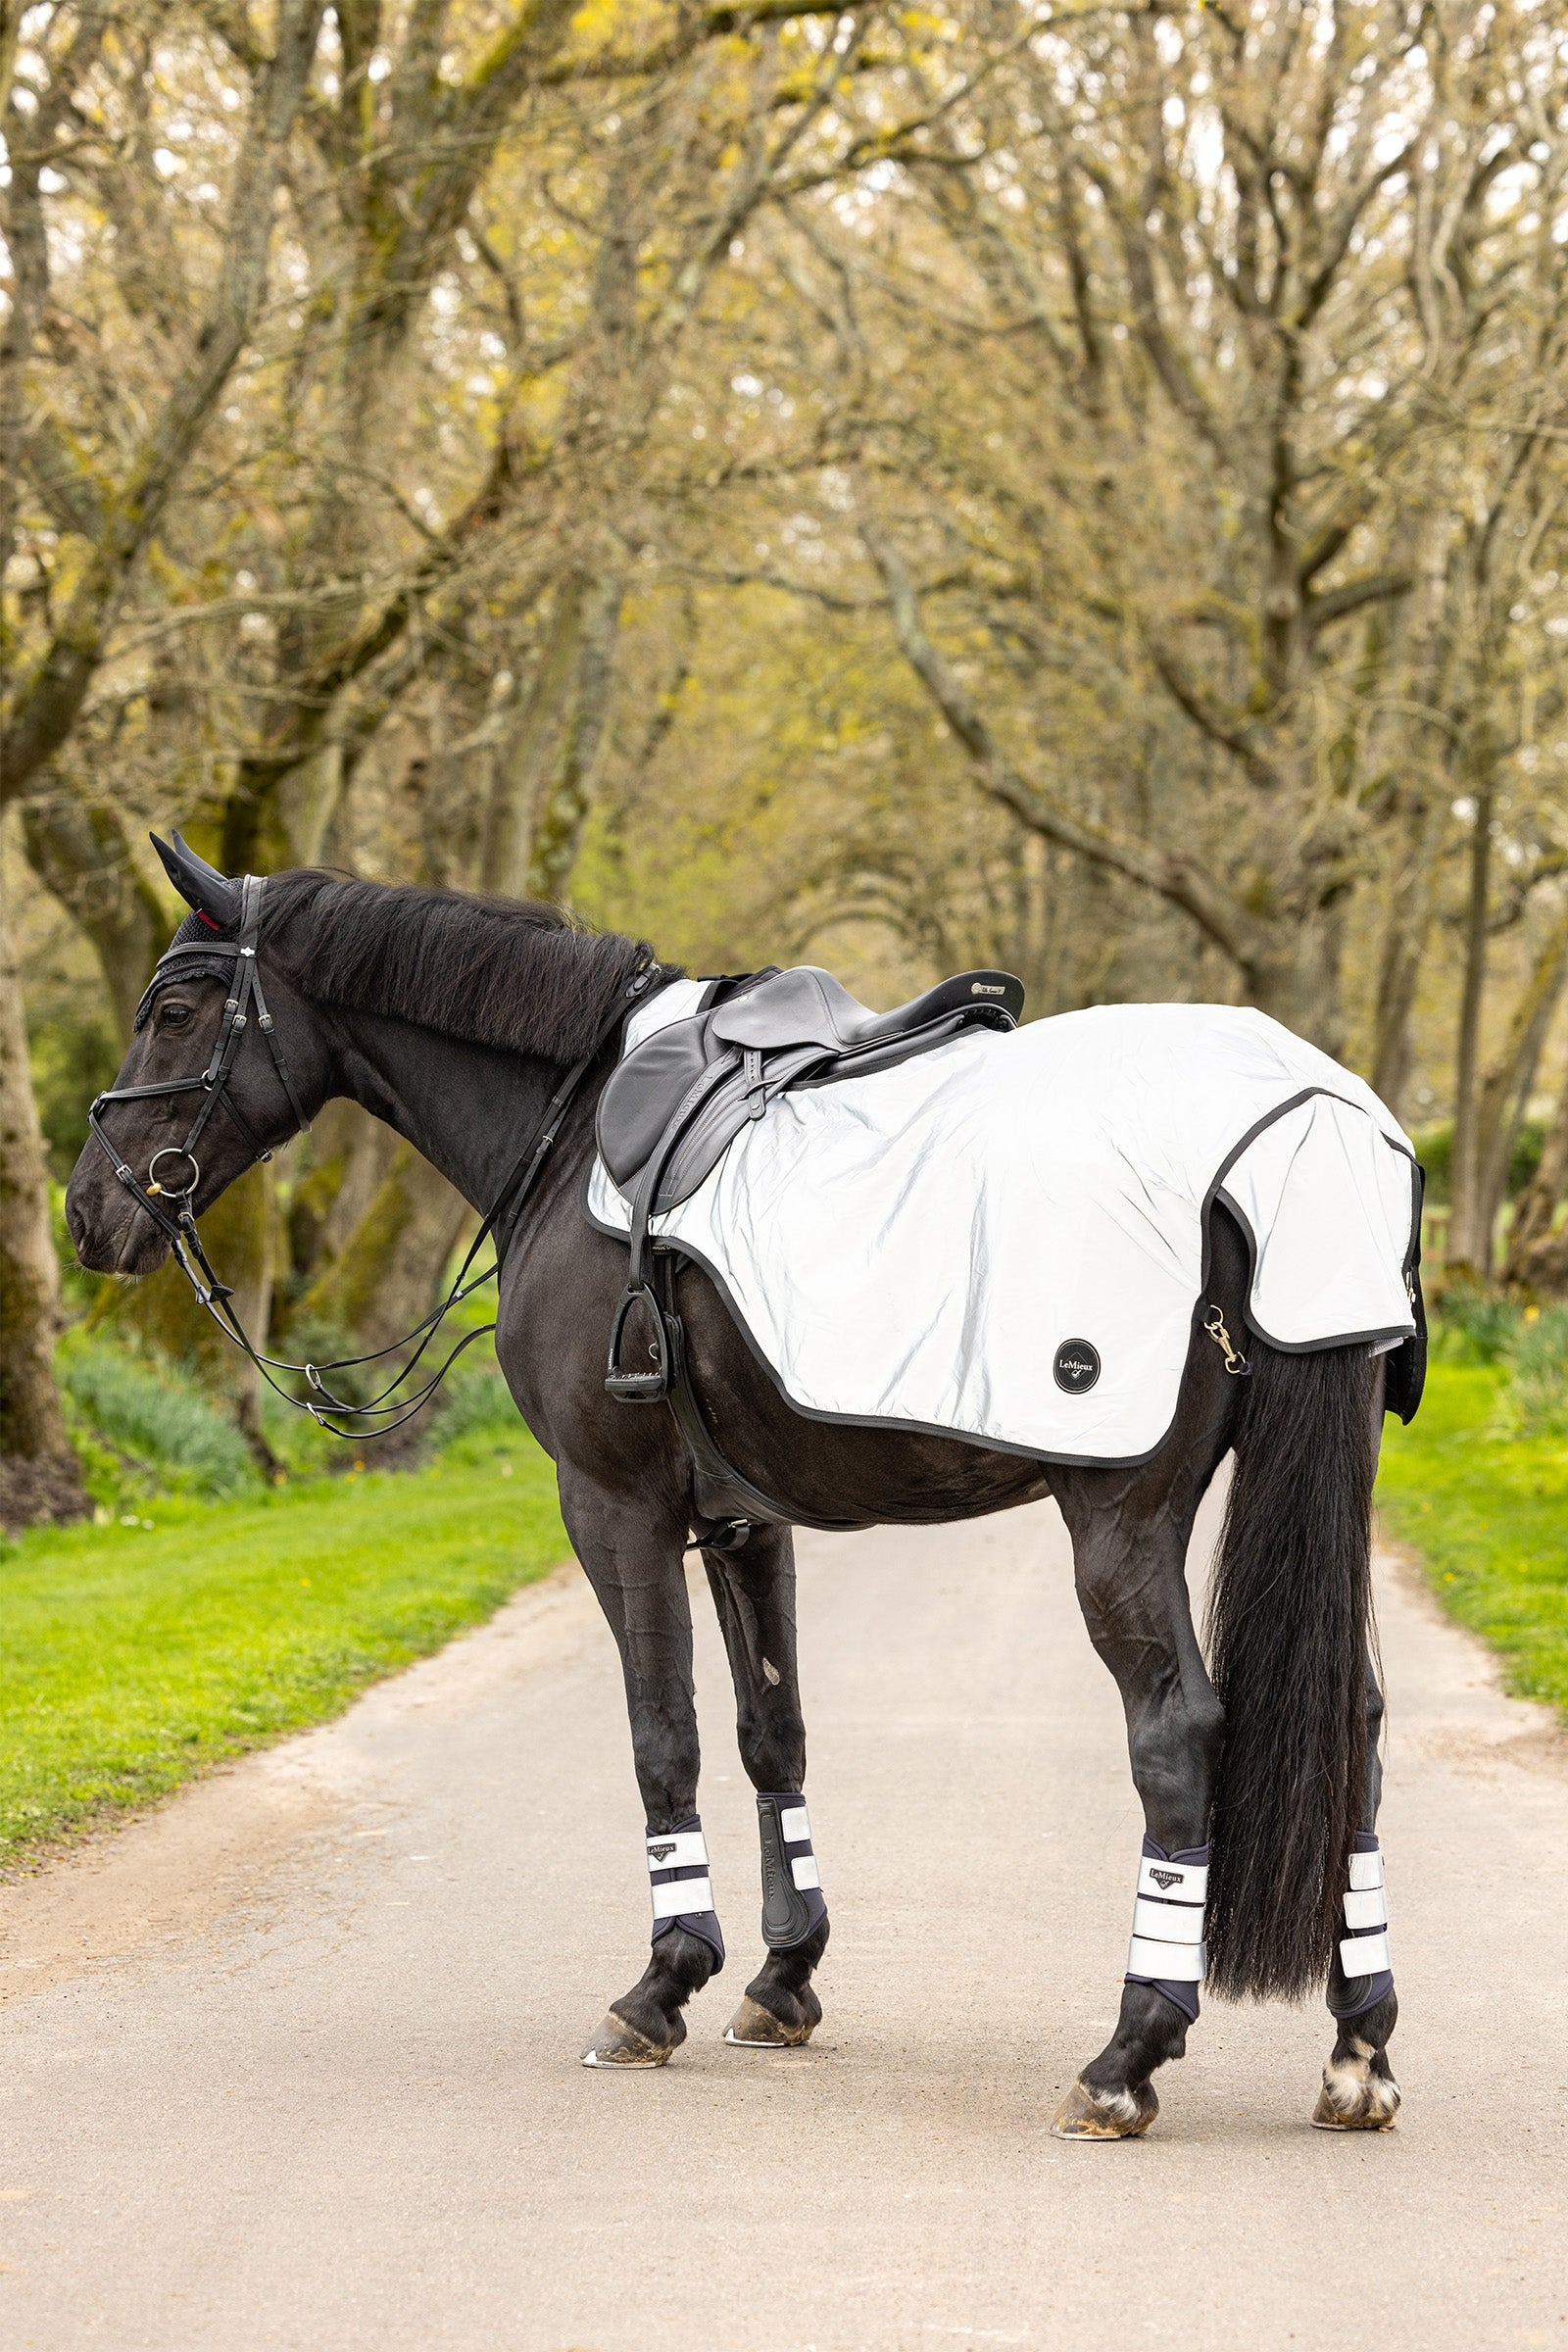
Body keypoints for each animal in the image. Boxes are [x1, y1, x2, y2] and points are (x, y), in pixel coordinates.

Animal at [64, 844, 1409, 2140]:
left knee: (1176, 1736)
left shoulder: (612, 1506)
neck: (571, 1124)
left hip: (1118, 1516)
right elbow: (774, 1732)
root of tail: (1300, 1124)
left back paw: (1127, 2056)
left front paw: (663, 1981)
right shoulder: (743, 1518)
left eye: (174, 1011)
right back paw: (1358, 2048)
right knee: (1354, 1720)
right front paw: (781, 1977)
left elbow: (663, 1734)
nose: (88, 1213)